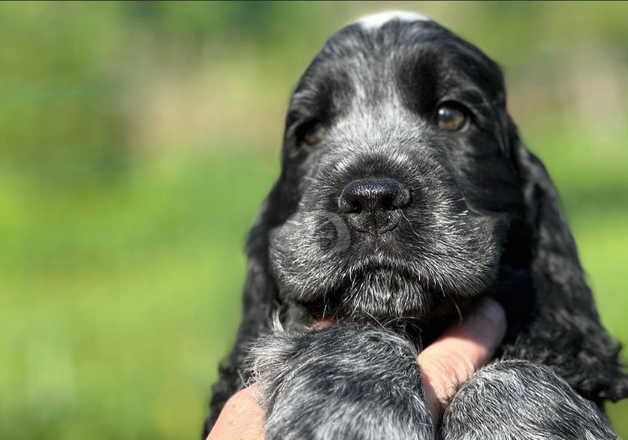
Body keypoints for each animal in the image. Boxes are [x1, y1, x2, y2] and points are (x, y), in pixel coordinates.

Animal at [204, 12, 624, 438]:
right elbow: (352, 332)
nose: (372, 200)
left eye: (451, 115)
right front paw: (351, 414)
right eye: (310, 132)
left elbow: (525, 372)